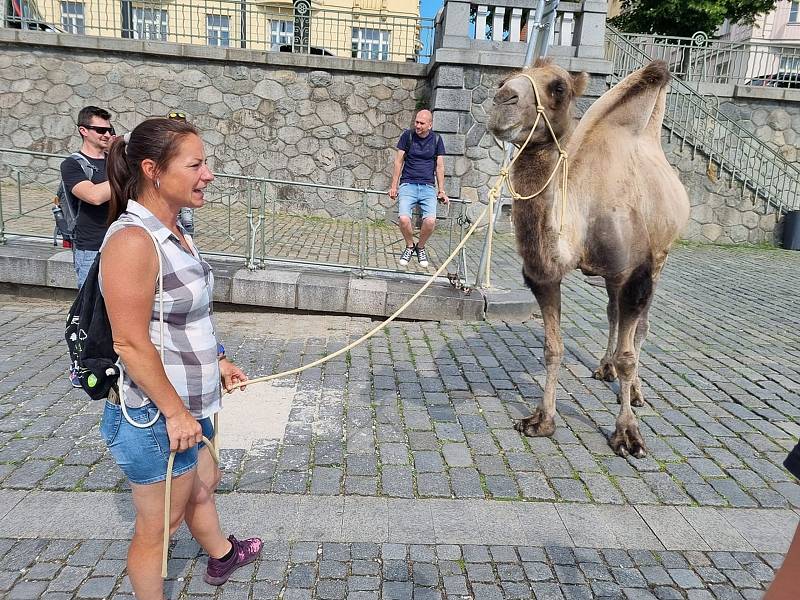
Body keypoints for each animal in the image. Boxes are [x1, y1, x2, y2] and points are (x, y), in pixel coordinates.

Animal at [484, 58, 692, 458]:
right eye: (503, 79)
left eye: (559, 87)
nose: (502, 99)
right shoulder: (545, 276)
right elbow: (553, 348)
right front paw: (541, 420)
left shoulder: (636, 273)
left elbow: (629, 353)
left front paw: (628, 434)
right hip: (613, 276)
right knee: (612, 312)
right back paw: (604, 367)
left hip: (661, 255)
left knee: (640, 327)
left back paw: (635, 392)